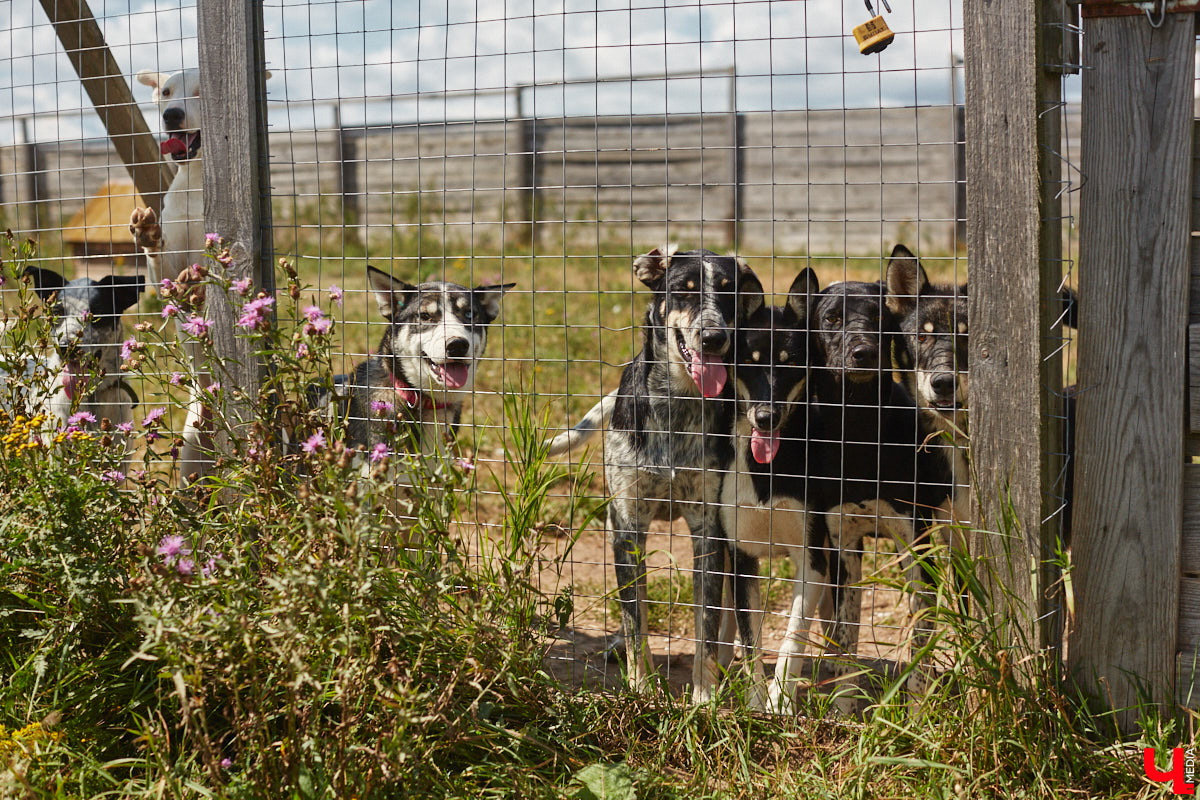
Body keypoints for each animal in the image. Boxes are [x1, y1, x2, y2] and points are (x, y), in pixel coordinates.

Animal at [549, 245, 763, 700]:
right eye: (684, 290)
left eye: (728, 291)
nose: (715, 338)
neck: (676, 404)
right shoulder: (629, 526)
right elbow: (636, 622)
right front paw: (641, 688)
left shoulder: (708, 528)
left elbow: (707, 622)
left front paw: (704, 696)